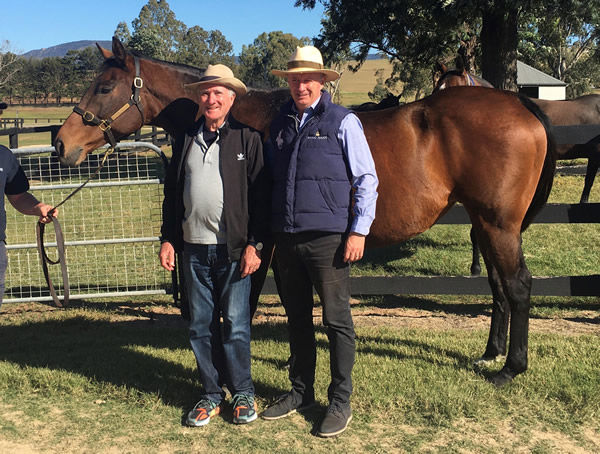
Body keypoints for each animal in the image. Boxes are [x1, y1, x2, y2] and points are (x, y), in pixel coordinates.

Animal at [54, 36, 556, 386]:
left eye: (104, 86)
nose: (62, 142)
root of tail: (520, 105)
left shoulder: (259, 245)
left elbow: (245, 303)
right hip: (486, 224)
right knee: (498, 286)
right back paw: (490, 353)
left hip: (498, 225)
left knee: (517, 285)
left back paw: (510, 367)